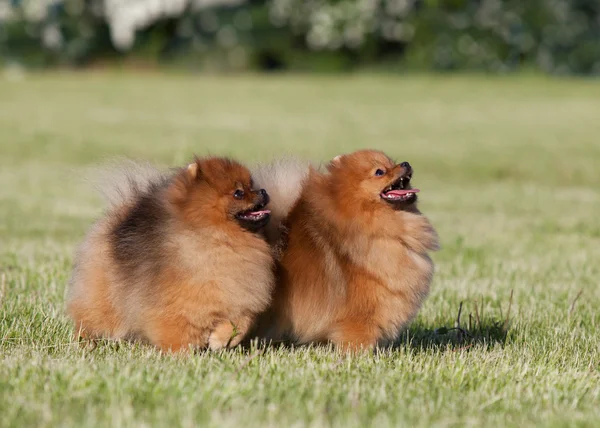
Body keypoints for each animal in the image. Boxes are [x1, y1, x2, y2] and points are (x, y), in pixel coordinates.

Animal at [67, 157, 274, 352]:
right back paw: (86, 342)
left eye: (251, 186)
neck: (219, 240)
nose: (263, 191)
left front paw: (222, 340)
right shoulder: (174, 305)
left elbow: (242, 321)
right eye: (238, 193)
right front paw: (181, 356)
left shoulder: (240, 297)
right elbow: (176, 331)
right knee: (90, 319)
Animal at [251, 150, 438, 352]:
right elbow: (358, 337)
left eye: (393, 162)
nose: (405, 163)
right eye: (380, 171)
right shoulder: (360, 316)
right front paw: (361, 356)